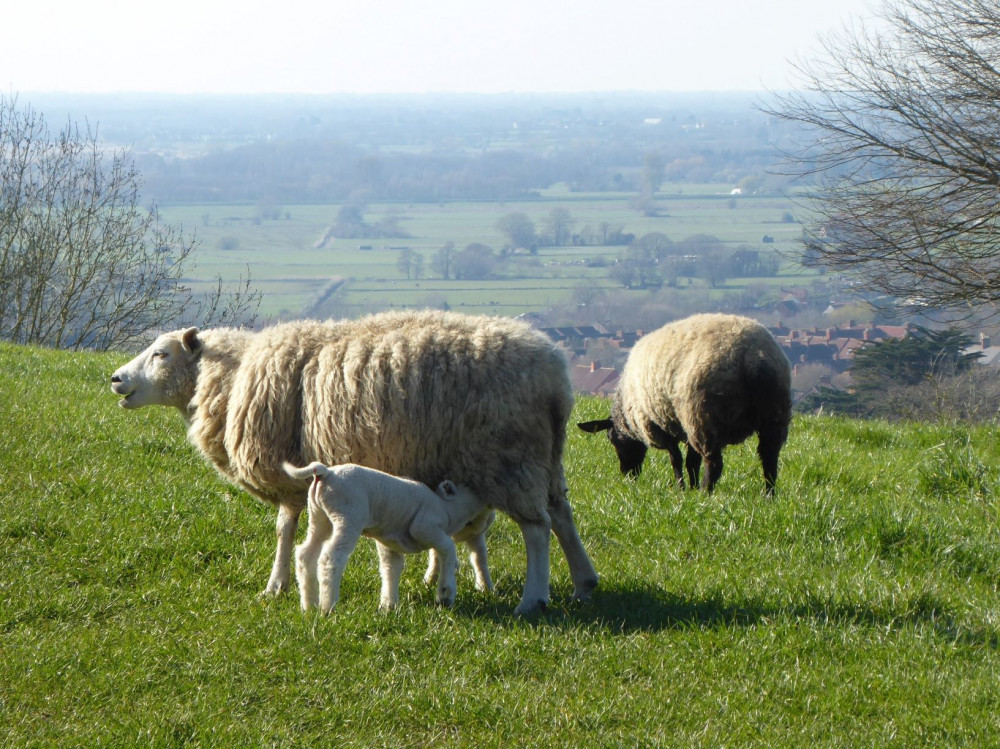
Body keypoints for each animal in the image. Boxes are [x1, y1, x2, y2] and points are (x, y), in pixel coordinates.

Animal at [282, 458, 492, 612]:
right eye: (471, 486)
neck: (447, 510)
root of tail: (326, 473)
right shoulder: (425, 527)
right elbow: (448, 548)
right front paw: (445, 594)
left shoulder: (388, 542)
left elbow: (391, 568)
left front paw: (388, 605)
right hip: (348, 517)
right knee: (331, 558)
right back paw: (328, 606)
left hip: (319, 517)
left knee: (306, 554)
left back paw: (309, 606)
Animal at [576, 312, 792, 494]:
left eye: (612, 440)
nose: (627, 475)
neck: (629, 415)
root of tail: (755, 358)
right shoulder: (684, 426)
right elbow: (691, 462)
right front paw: (691, 487)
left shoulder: (663, 425)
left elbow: (677, 460)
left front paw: (682, 489)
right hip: (774, 416)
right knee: (769, 458)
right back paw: (769, 495)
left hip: (704, 416)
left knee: (714, 463)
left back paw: (705, 493)